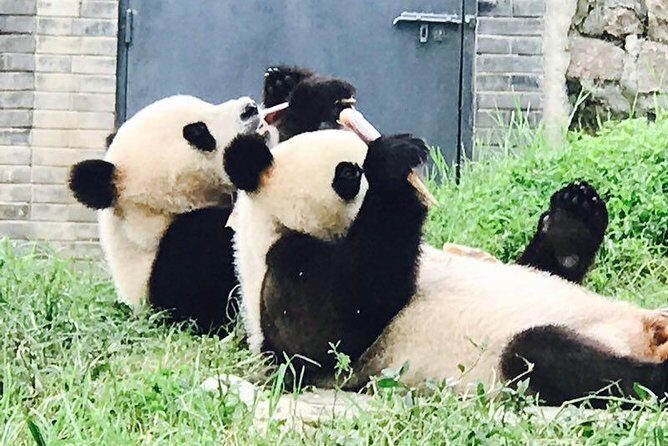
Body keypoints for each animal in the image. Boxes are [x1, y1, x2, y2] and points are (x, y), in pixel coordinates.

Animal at [224, 129, 668, 407]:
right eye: (349, 172)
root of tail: (650, 336)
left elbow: (543, 266)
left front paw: (574, 216)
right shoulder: (285, 266)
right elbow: (332, 333)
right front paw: (395, 166)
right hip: (512, 357)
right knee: (549, 357)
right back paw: (658, 377)